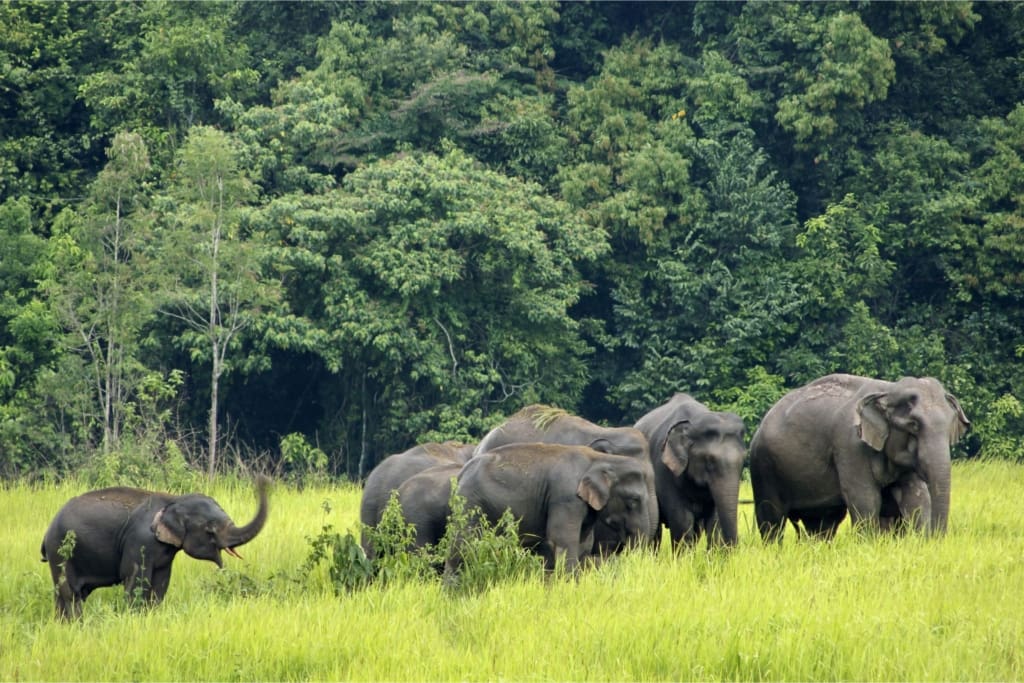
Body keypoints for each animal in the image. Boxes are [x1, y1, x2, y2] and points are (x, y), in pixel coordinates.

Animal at [41, 475, 270, 618]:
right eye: (210, 530)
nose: (263, 479)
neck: (174, 500)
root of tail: (47, 531)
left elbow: (161, 583)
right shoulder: (140, 541)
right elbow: (135, 579)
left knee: (64, 594)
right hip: (59, 551)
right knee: (70, 593)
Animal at [444, 444, 651, 577]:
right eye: (634, 500)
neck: (600, 459)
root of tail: (461, 473)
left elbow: (582, 542)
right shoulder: (565, 496)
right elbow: (562, 540)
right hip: (470, 504)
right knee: (462, 546)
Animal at [630, 393, 745, 548]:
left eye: (744, 459)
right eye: (709, 461)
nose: (734, 547)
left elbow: (714, 519)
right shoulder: (664, 470)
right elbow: (682, 519)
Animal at [749, 374, 970, 540]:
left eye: (951, 425)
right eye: (913, 425)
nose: (936, 538)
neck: (887, 389)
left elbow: (915, 495)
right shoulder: (849, 445)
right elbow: (865, 498)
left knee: (822, 522)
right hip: (764, 468)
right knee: (772, 520)